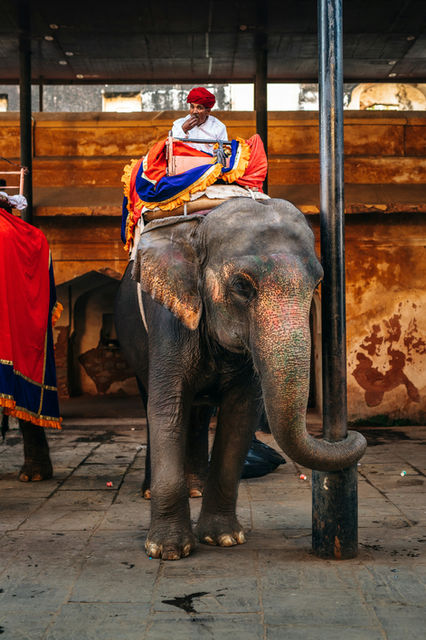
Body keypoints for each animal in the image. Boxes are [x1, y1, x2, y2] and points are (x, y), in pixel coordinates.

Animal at [115, 197, 367, 560]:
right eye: (242, 287)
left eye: (318, 285)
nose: (352, 436)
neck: (198, 228)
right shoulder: (169, 321)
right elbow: (167, 409)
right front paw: (168, 551)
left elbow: (240, 415)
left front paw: (224, 539)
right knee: (155, 405)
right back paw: (151, 493)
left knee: (199, 413)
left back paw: (196, 488)